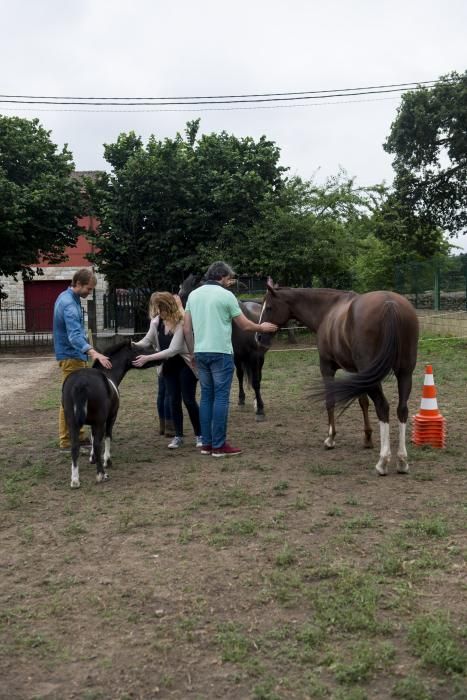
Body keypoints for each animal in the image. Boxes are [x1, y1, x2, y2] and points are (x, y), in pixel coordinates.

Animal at [62, 340, 158, 486]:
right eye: (140, 350)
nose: (158, 355)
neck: (108, 373)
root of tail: (81, 383)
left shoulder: (93, 422)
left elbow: (92, 436)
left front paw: (92, 458)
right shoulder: (110, 418)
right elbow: (106, 437)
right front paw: (107, 460)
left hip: (72, 421)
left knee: (75, 446)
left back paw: (75, 480)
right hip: (100, 420)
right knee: (97, 444)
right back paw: (101, 475)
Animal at [179, 274, 270, 422]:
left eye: (184, 295)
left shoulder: (254, 356)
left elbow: (256, 381)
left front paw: (260, 409)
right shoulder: (236, 356)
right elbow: (240, 376)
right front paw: (243, 401)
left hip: (259, 358)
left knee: (258, 376)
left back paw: (256, 402)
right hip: (240, 359)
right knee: (240, 375)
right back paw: (242, 400)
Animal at [260, 286, 420, 476]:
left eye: (269, 307)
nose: (258, 337)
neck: (327, 309)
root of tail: (390, 303)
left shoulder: (327, 367)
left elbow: (330, 401)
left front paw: (330, 438)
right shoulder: (360, 374)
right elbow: (363, 402)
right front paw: (367, 438)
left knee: (383, 407)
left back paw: (383, 461)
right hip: (404, 373)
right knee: (402, 409)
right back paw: (402, 461)